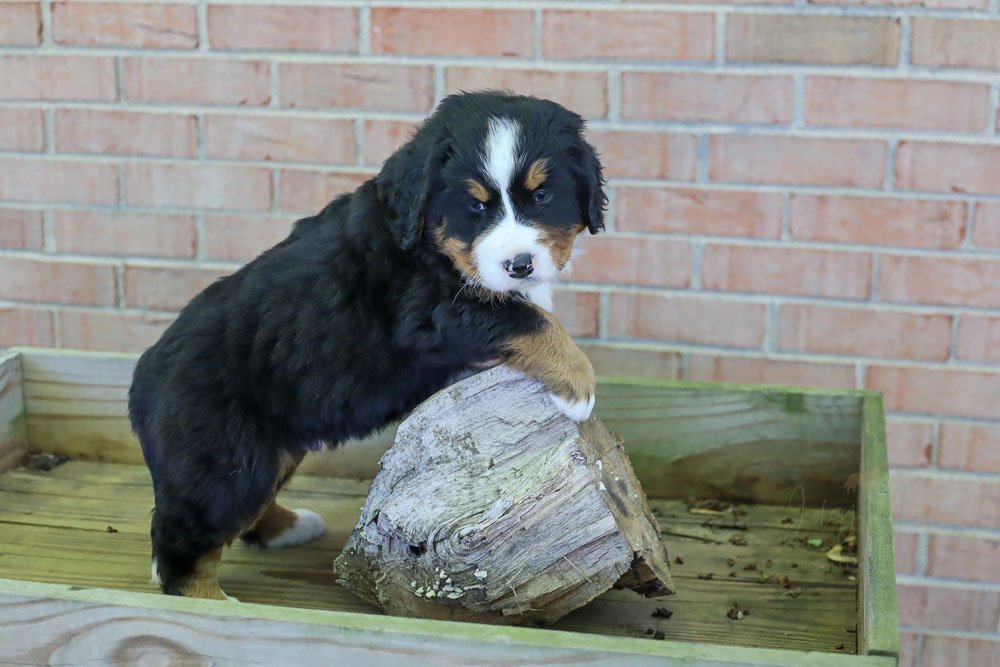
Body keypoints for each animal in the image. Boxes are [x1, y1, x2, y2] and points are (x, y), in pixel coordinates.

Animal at [129, 91, 604, 604]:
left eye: (543, 196)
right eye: (474, 206)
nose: (520, 265)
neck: (423, 241)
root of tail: (142, 379)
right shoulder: (431, 311)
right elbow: (531, 320)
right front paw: (578, 384)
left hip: (270, 451)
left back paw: (288, 527)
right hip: (225, 463)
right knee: (182, 545)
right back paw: (213, 602)